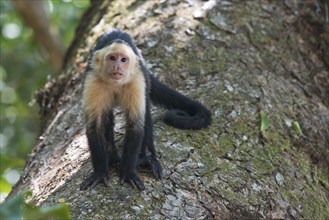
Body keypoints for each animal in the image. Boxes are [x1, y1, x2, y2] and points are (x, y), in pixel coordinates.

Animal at [80, 28, 211, 191]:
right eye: (112, 58)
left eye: (123, 60)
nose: (117, 66)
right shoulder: (93, 79)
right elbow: (95, 125)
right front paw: (100, 172)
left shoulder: (136, 80)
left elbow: (136, 126)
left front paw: (128, 172)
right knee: (107, 116)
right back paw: (110, 154)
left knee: (146, 113)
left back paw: (147, 158)